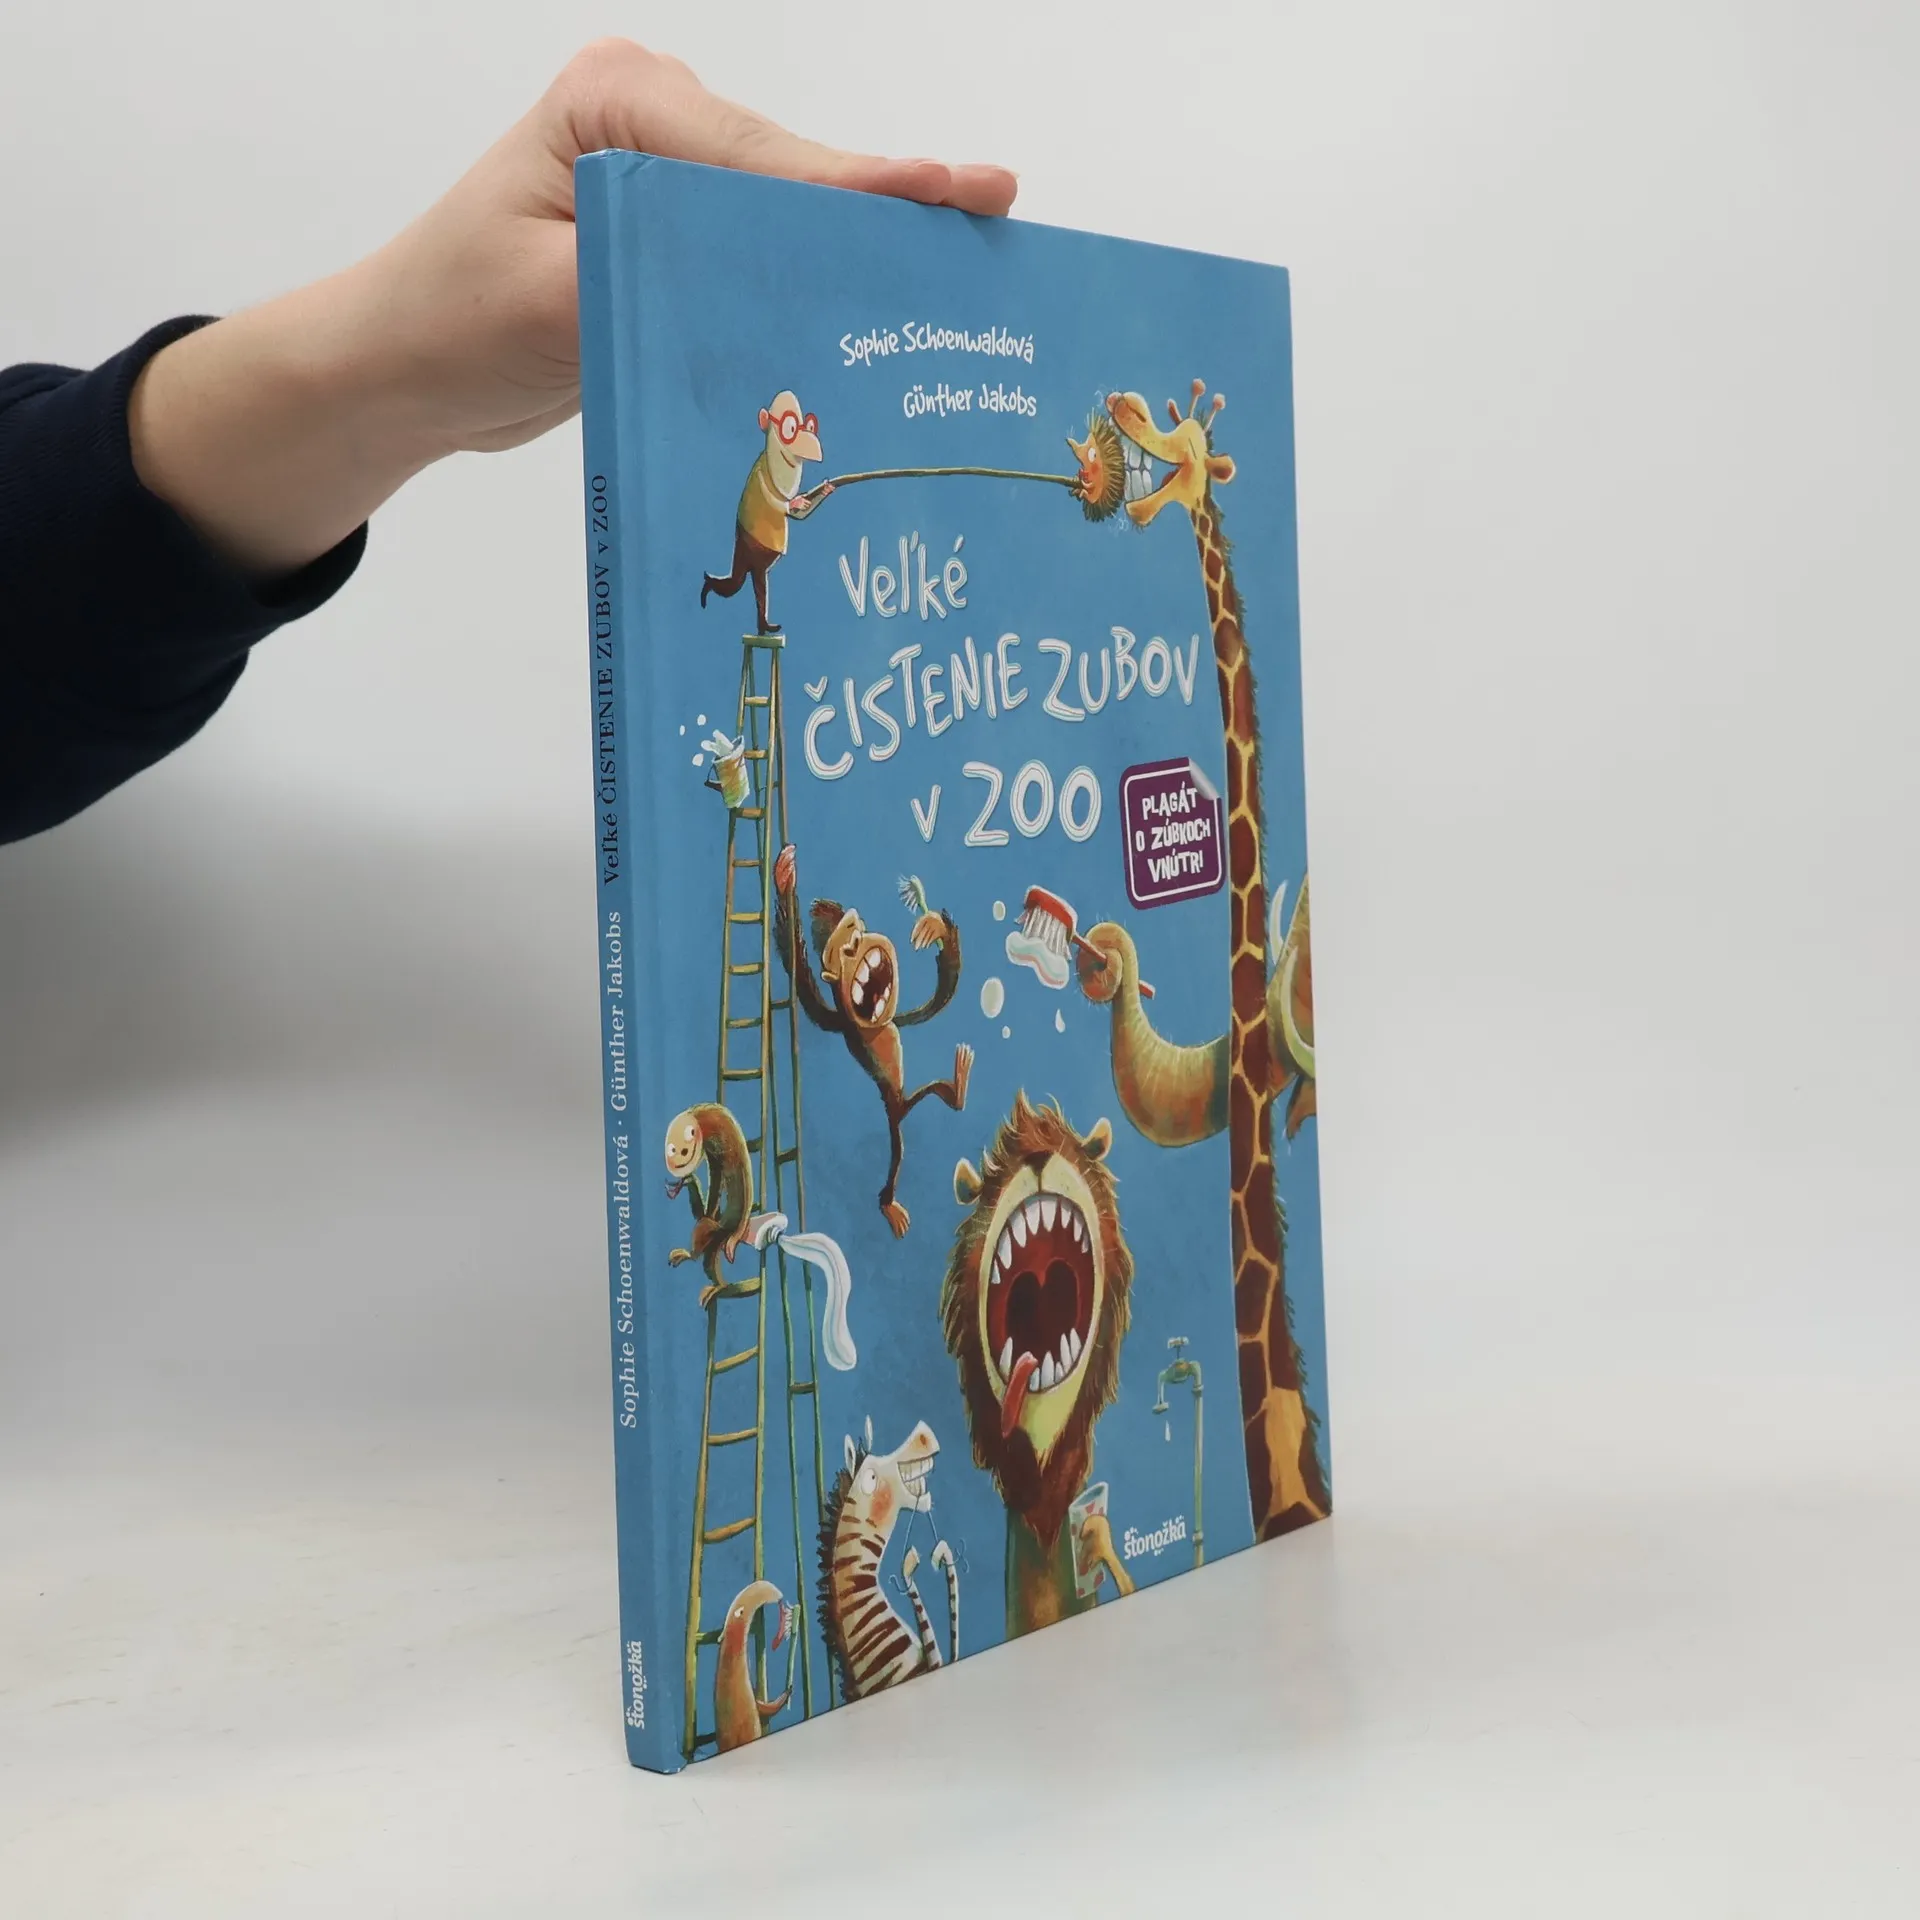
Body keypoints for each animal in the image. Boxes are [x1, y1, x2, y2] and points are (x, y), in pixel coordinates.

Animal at [663, 1102, 754, 1308]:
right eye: (672, 1150)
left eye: (684, 1151)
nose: (675, 1164)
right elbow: (713, 1176)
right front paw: (685, 1181)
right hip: (714, 1239)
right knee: (706, 1257)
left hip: (718, 1230)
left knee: (702, 1231)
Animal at [700, 390, 832, 635]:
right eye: (790, 427)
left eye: (810, 426)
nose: (814, 444)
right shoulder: (760, 475)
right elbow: (776, 501)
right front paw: (795, 500)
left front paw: (826, 488)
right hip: (750, 551)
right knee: (739, 582)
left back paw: (764, 627)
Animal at [772, 842, 970, 1239]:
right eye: (840, 950)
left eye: (854, 931)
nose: (855, 945)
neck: (875, 1024)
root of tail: (897, 1101)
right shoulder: (841, 1022)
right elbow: (804, 987)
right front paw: (783, 880)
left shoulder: (896, 1017)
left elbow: (935, 1002)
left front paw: (933, 926)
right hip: (893, 1116)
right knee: (896, 1149)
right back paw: (888, 1202)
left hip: (905, 1101)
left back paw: (957, 1088)